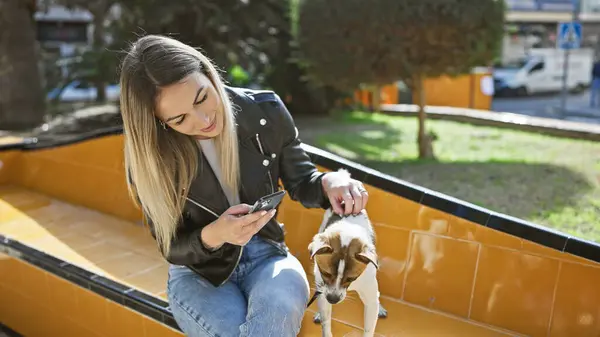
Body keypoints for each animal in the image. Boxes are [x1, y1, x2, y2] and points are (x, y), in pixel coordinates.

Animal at [308, 205, 386, 336]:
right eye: (325, 273)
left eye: (351, 278)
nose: (333, 299)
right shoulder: (323, 287)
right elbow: (326, 321)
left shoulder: (370, 296)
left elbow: (369, 328)